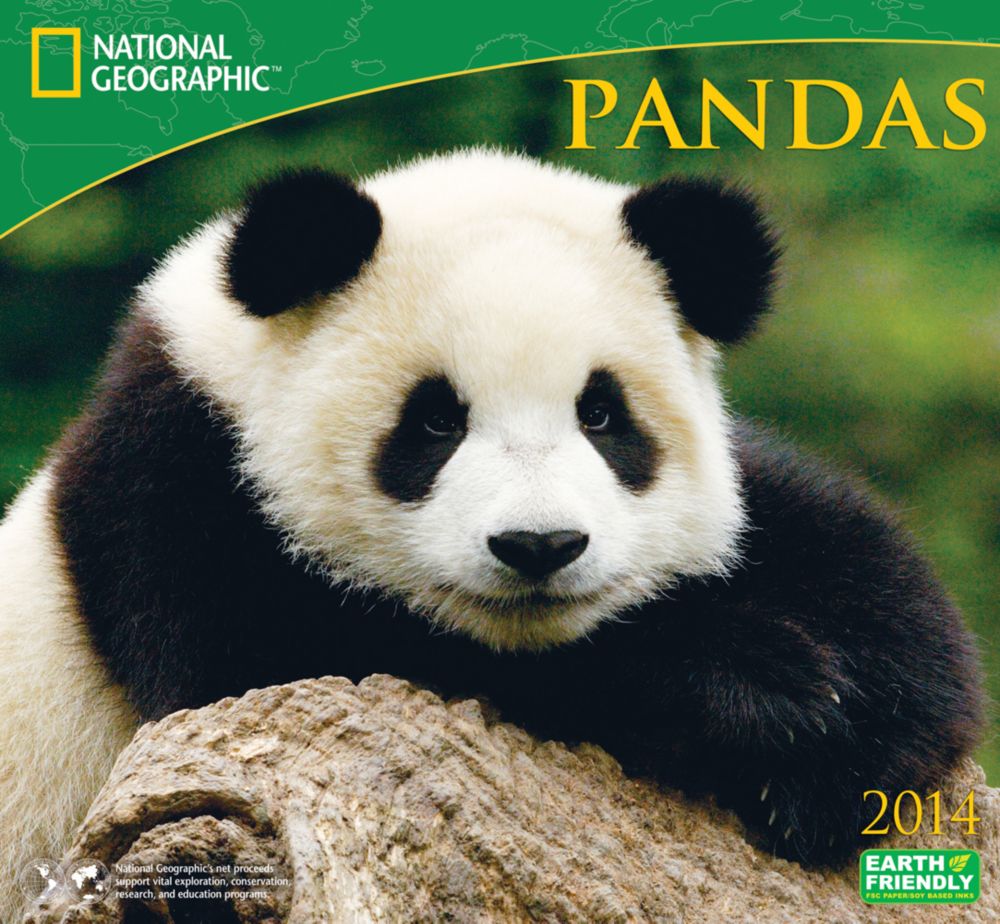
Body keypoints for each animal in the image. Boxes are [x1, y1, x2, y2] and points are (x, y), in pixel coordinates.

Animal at [0, 149, 984, 917]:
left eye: (602, 414)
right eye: (435, 421)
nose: (540, 546)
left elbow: (867, 576)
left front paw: (836, 748)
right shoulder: (173, 483)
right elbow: (277, 663)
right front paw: (752, 689)